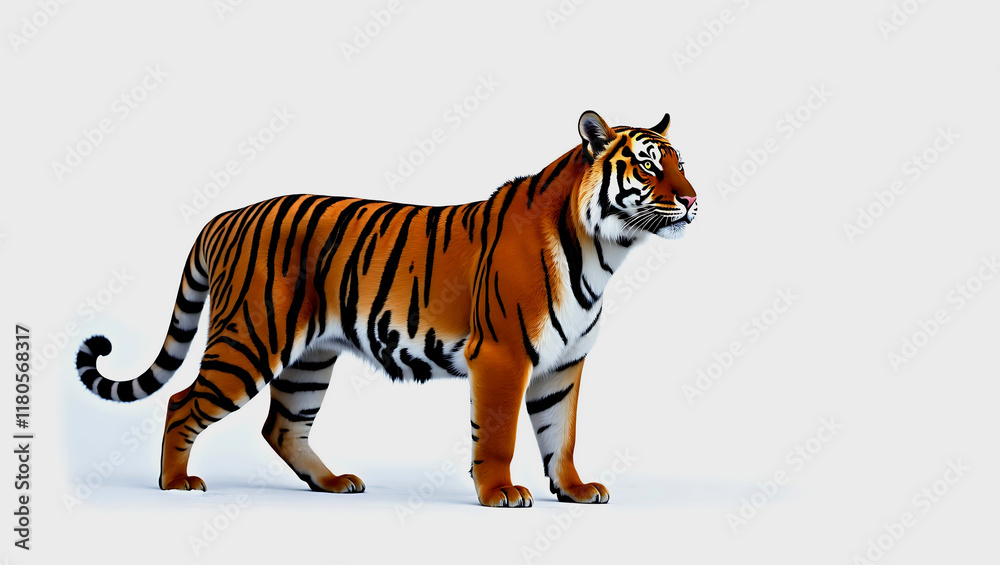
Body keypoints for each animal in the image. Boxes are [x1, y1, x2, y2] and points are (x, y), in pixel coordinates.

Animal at [75, 110, 697, 507]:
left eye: (681, 164)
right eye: (647, 166)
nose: (692, 199)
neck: (603, 251)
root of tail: (226, 216)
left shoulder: (563, 365)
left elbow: (559, 433)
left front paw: (574, 490)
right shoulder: (502, 356)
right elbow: (499, 433)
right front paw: (500, 493)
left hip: (310, 359)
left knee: (282, 426)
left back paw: (332, 484)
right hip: (248, 340)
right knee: (182, 402)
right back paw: (176, 483)